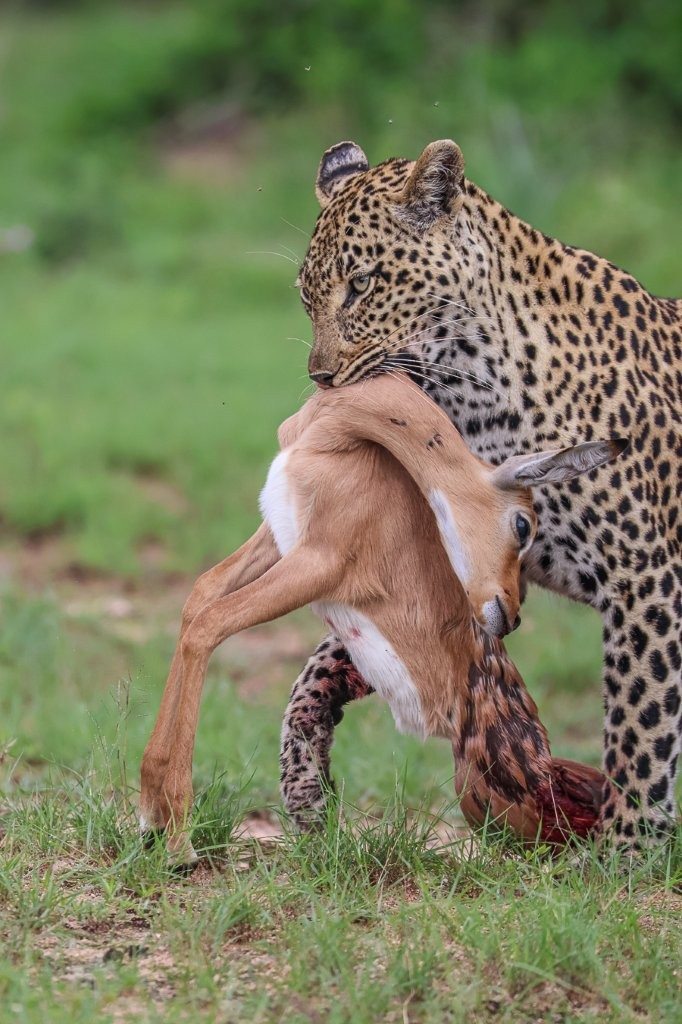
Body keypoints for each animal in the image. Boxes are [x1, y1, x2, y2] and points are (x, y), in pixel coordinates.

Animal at [140, 373, 626, 863]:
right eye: (523, 524)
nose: (509, 614)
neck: (331, 436)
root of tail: (545, 764)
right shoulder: (278, 540)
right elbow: (199, 602)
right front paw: (153, 818)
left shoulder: (317, 563)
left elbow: (208, 624)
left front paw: (177, 840)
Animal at [279, 138, 681, 846]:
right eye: (307, 296)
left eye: (362, 285)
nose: (321, 378)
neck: (474, 392)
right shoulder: (478, 569)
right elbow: (339, 655)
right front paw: (303, 778)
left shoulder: (644, 576)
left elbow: (641, 720)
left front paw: (626, 847)